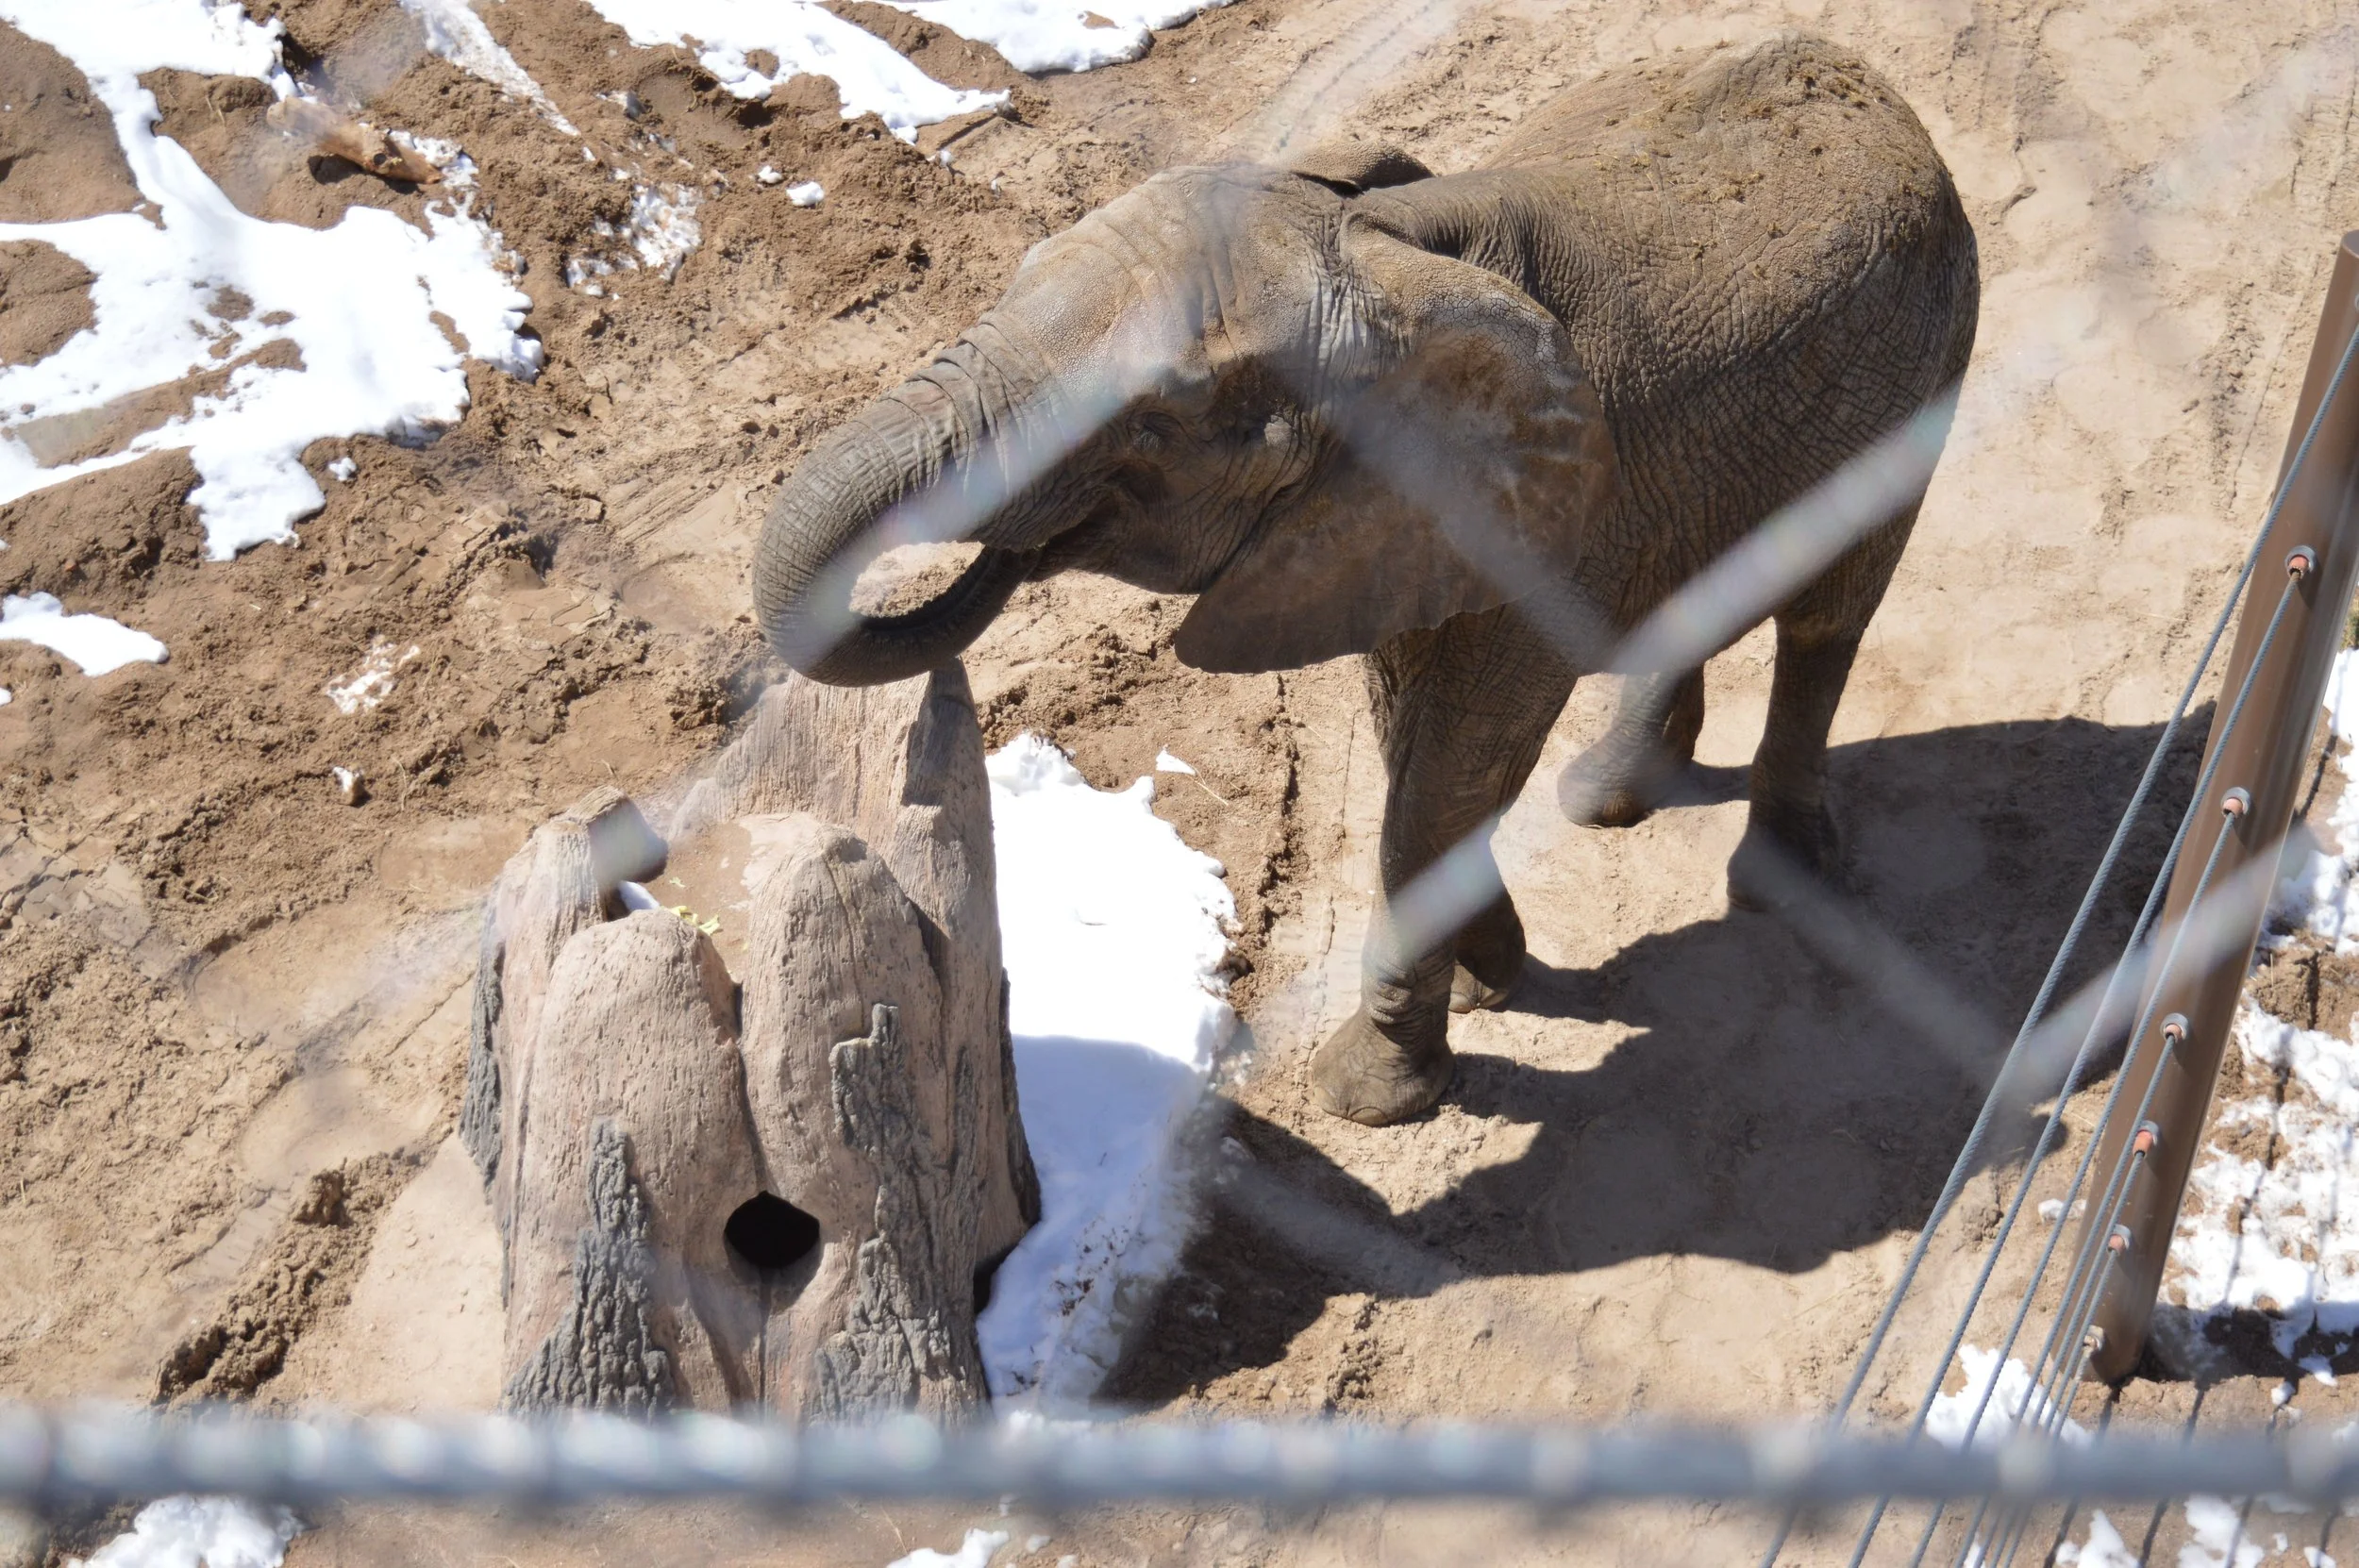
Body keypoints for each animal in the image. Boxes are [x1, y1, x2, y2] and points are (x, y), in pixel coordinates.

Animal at [751, 31, 1980, 1127]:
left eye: (1155, 421)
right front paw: (1492, 978)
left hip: (1928, 346)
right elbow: (1413, 741)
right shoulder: (1391, 517)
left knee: (1830, 615)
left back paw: (1772, 875)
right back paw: (1607, 799)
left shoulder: (1528, 512)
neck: (1388, 253)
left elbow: (1453, 764)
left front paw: (1378, 1093)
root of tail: (1873, 84)